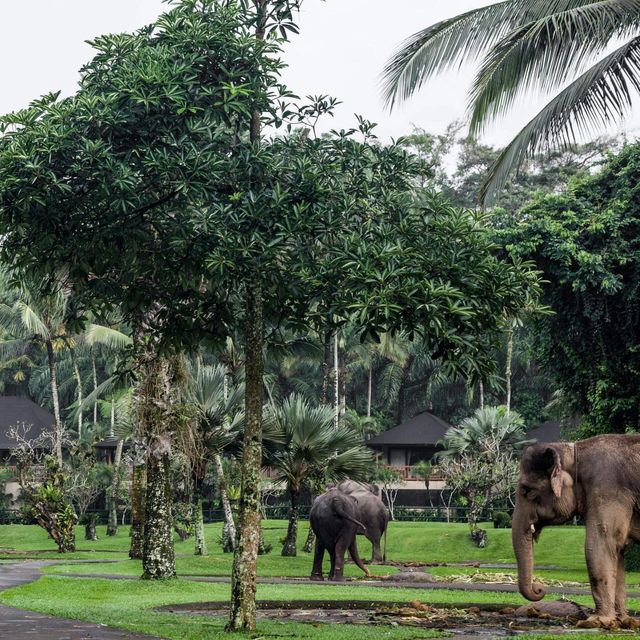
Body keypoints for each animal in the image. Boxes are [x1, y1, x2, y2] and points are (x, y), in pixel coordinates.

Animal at [512, 436, 640, 632]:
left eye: (527, 490)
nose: (539, 588)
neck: (574, 452)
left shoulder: (608, 490)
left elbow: (600, 544)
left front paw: (595, 621)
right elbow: (617, 550)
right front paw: (622, 621)